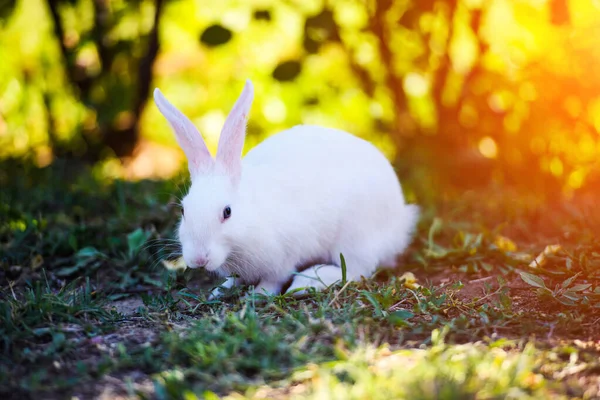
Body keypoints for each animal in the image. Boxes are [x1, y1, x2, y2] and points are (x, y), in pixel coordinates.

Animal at [152, 80, 420, 296]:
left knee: (355, 271)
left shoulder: (282, 258)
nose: (199, 258)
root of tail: (399, 221)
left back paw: (307, 283)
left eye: (227, 212)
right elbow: (233, 281)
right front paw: (219, 291)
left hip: (355, 237)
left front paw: (258, 295)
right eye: (184, 211)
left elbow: (274, 280)